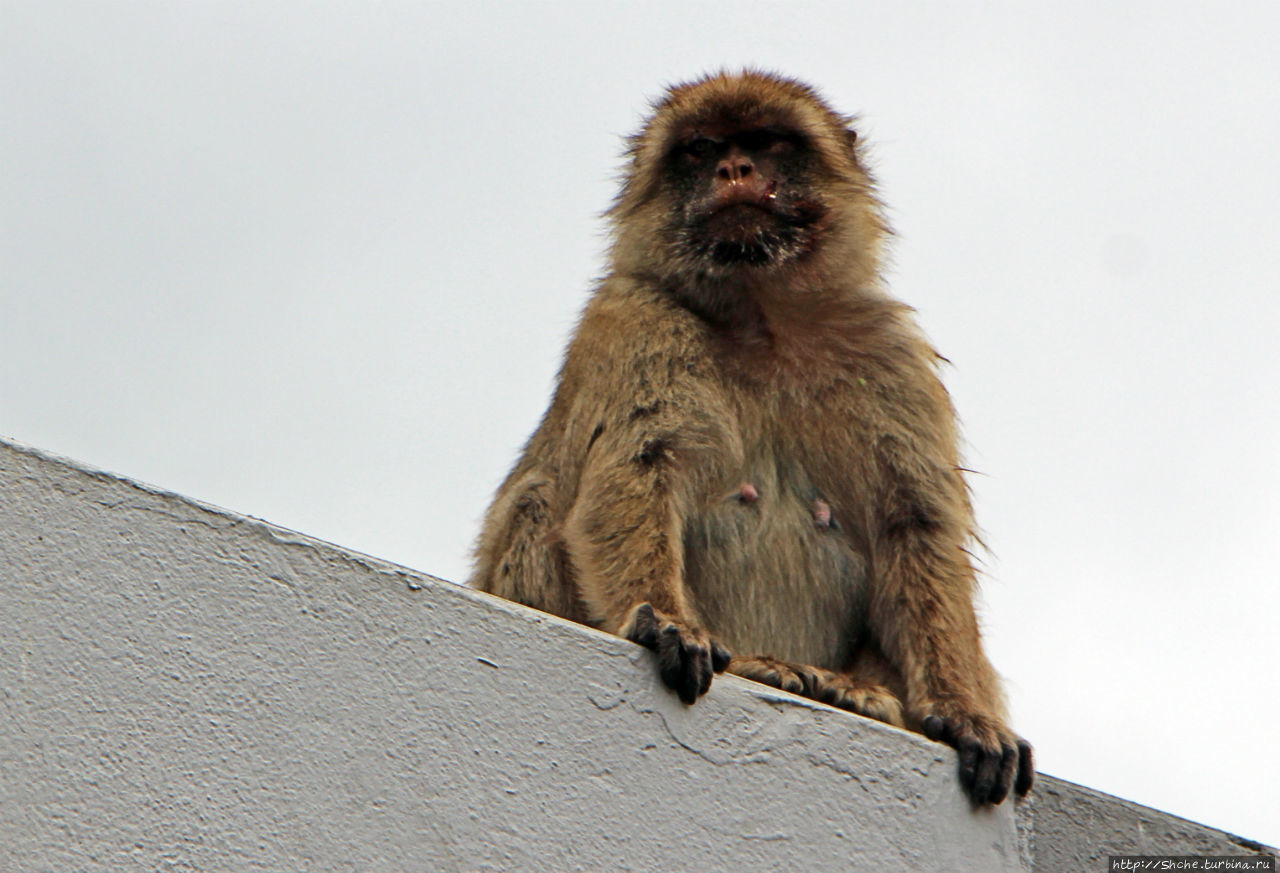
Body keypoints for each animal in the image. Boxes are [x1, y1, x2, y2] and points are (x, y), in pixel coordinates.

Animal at [476, 69, 1034, 803]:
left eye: (767, 142)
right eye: (701, 148)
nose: (734, 169)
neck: (764, 319)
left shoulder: (892, 356)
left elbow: (916, 524)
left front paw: (962, 708)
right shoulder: (634, 318)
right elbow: (632, 471)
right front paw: (665, 620)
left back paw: (851, 688)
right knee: (538, 497)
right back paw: (765, 668)